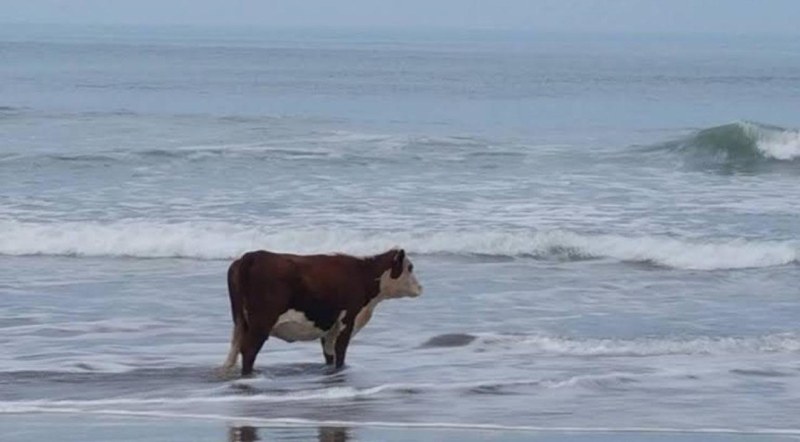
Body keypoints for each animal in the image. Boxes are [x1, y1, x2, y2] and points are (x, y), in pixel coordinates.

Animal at [220, 247, 422, 376]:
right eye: (410, 267)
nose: (421, 287)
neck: (362, 275)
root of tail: (250, 256)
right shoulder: (347, 320)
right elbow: (340, 352)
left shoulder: (330, 328)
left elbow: (329, 353)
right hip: (261, 322)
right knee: (249, 350)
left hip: (240, 322)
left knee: (235, 350)